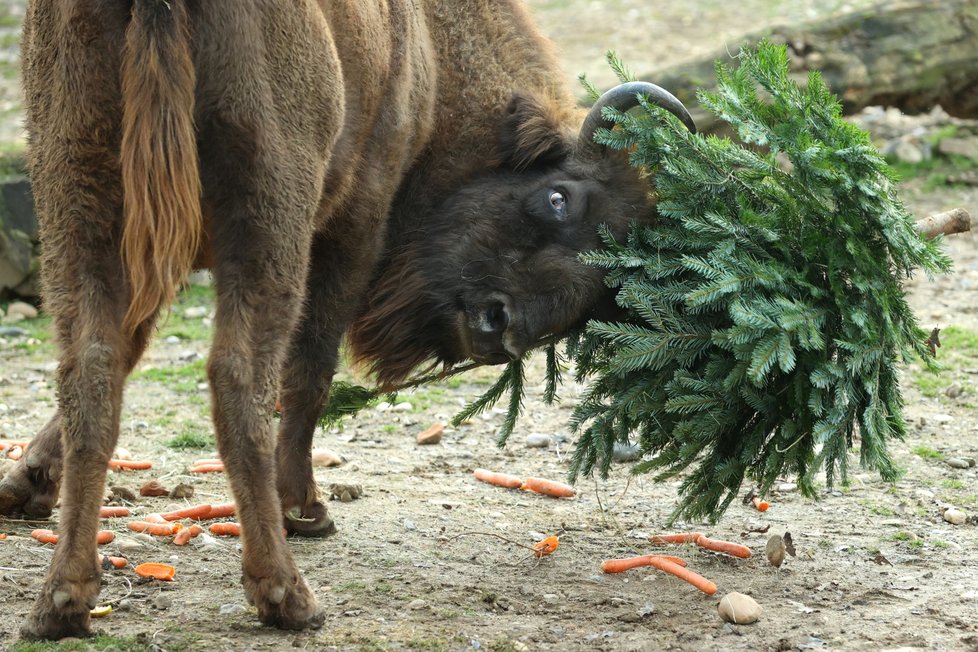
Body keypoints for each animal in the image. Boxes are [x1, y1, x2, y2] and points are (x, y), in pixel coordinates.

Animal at [0, 0, 692, 640]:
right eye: (556, 197)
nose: (500, 328)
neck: (427, 42)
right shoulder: (356, 218)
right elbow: (309, 369)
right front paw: (307, 510)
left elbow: (126, 353)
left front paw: (25, 484)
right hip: (270, 211)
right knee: (238, 377)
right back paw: (286, 595)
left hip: (76, 189)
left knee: (90, 367)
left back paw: (62, 601)